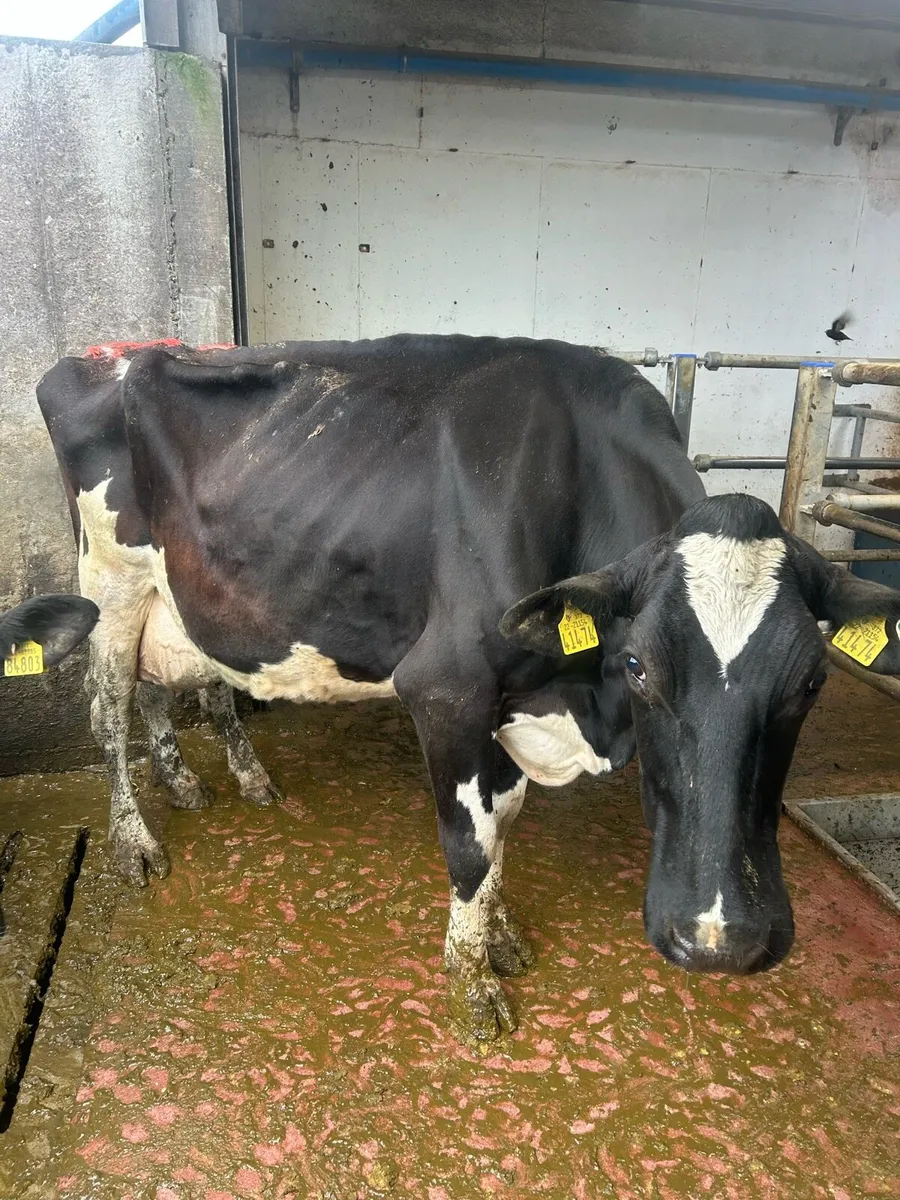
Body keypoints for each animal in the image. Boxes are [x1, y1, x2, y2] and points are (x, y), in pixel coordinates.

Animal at [36, 335, 900, 1043]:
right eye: (638, 667)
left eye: (813, 680)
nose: (721, 940)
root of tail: (103, 354)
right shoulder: (447, 687)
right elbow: (470, 841)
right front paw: (472, 980)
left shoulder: (510, 696)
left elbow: (503, 821)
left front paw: (497, 932)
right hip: (109, 581)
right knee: (110, 711)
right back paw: (135, 840)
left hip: (170, 598)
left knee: (165, 687)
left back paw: (205, 781)